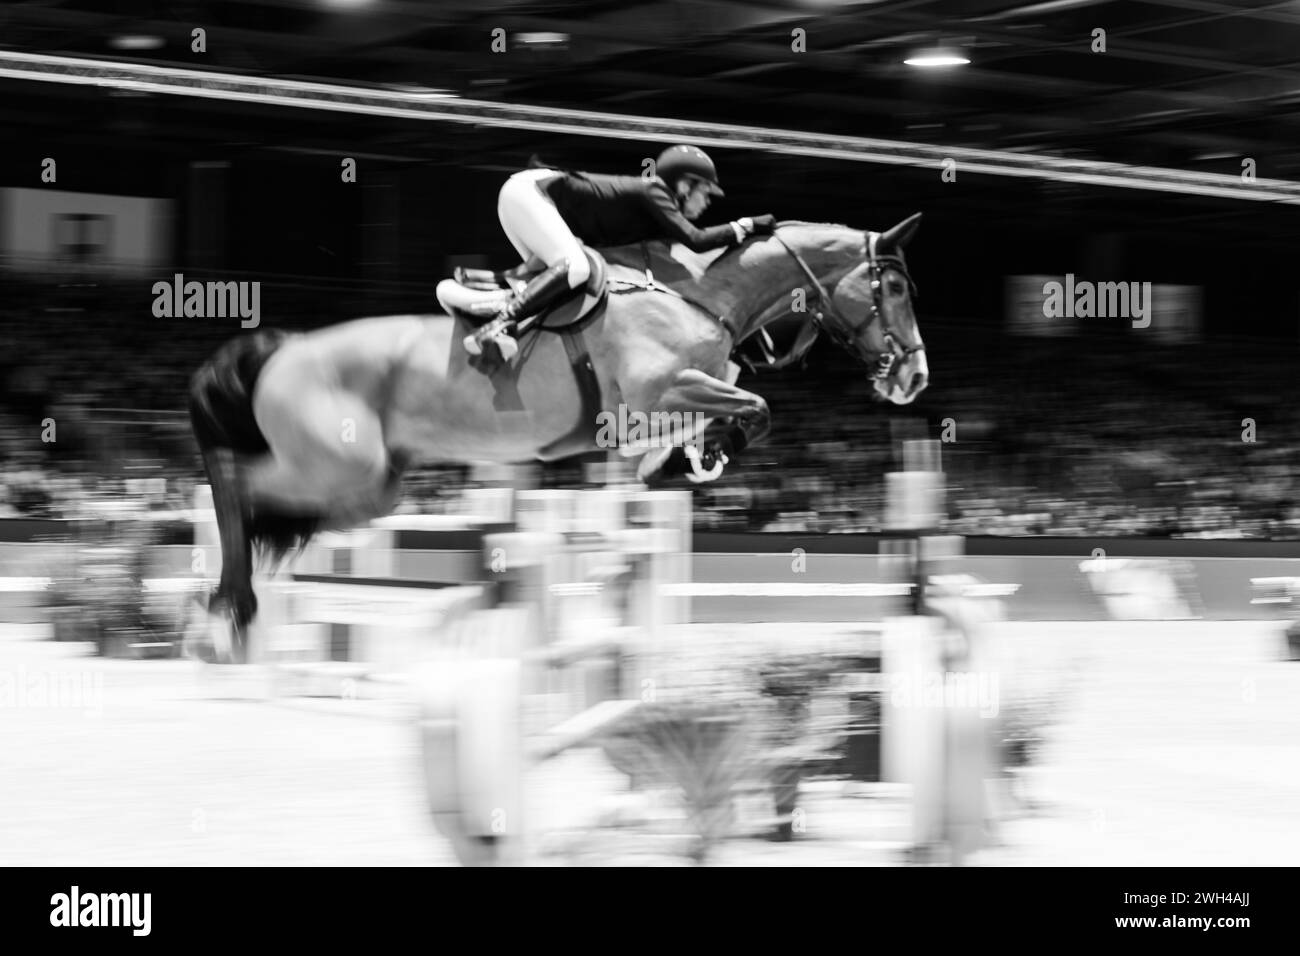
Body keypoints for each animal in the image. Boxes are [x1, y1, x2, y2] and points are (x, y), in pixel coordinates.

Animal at [188, 214, 930, 658]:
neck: (700, 297)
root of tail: (284, 349)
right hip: (346, 473)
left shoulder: (667, 404)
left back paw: (232, 608)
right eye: (893, 286)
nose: (914, 378)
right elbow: (757, 407)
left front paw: (687, 460)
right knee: (233, 484)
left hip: (364, 485)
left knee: (258, 500)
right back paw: (228, 606)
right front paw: (686, 462)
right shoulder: (653, 397)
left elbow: (732, 412)